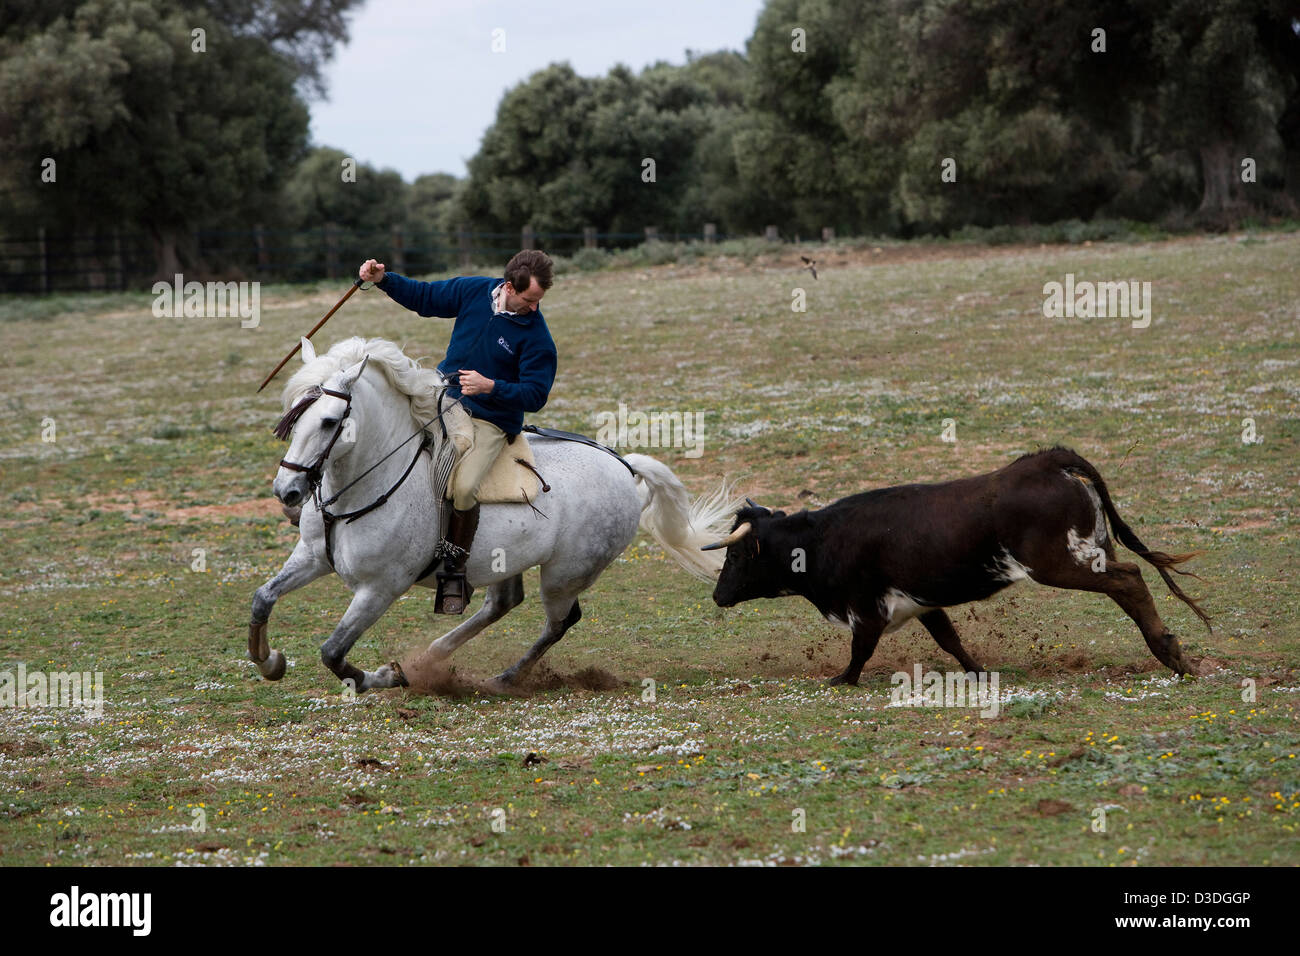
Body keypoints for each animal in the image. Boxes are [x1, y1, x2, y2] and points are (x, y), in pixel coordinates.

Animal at [702, 447, 1210, 685]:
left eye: (735, 555)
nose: (717, 595)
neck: (822, 539)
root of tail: (1047, 462)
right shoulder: (922, 604)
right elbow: (951, 640)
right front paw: (980, 672)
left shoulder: (867, 609)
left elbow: (860, 650)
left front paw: (842, 679)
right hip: (1091, 551)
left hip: (1062, 563)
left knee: (1130, 581)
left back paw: (1170, 652)